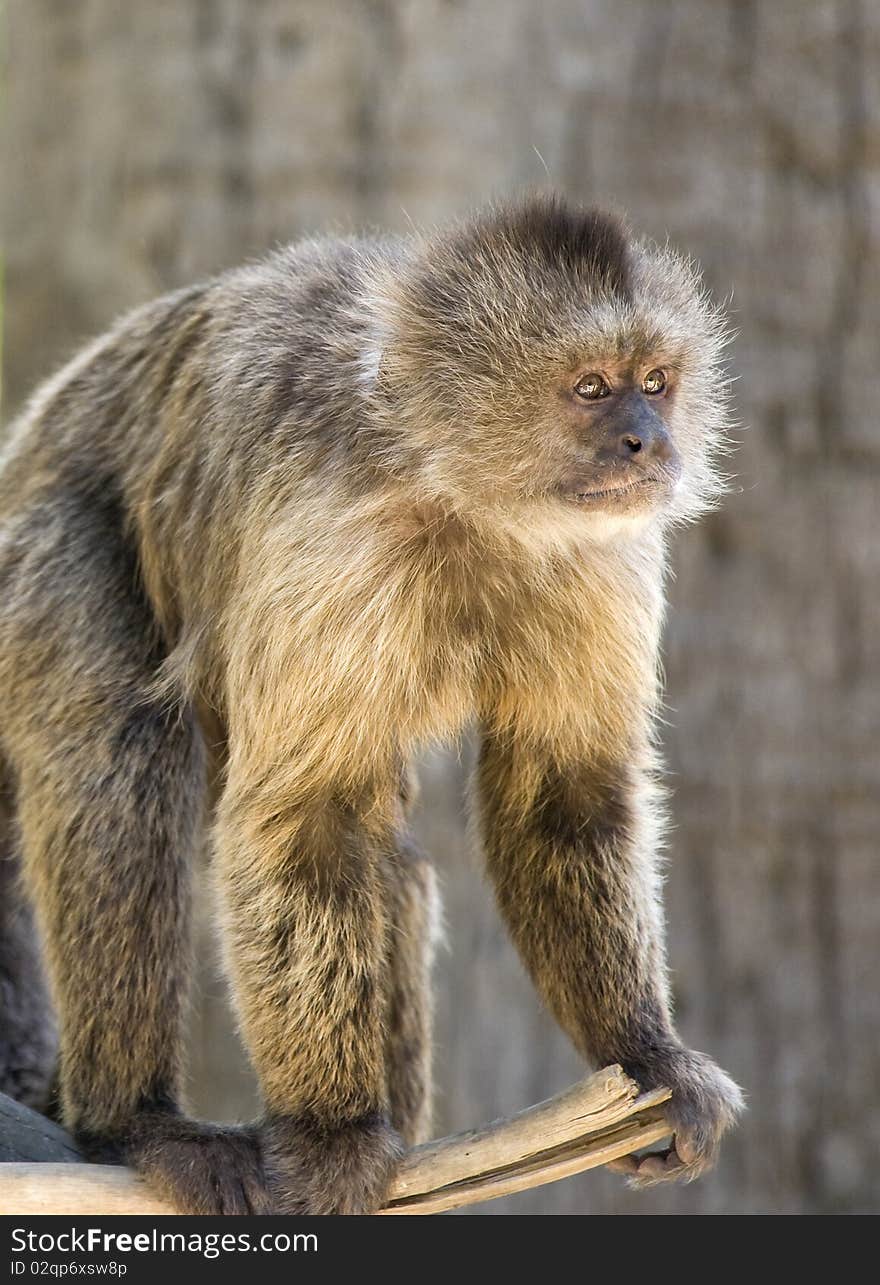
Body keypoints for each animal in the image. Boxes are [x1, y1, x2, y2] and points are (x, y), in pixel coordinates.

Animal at [0, 195, 739, 1207]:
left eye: (656, 383)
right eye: (592, 389)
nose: (650, 442)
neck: (460, 494)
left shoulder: (600, 555)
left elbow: (564, 794)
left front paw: (645, 1053)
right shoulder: (333, 539)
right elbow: (302, 818)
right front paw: (333, 1131)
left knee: (391, 852)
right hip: (40, 550)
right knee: (120, 766)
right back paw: (131, 1122)